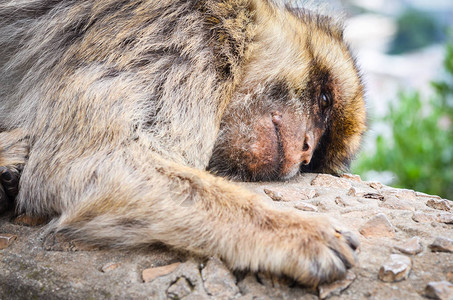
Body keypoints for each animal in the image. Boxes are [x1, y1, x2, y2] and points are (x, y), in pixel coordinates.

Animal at [0, 0, 364, 288]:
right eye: (324, 100)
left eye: (316, 156)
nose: (305, 150)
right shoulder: (184, 41)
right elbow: (89, 161)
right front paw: (298, 232)